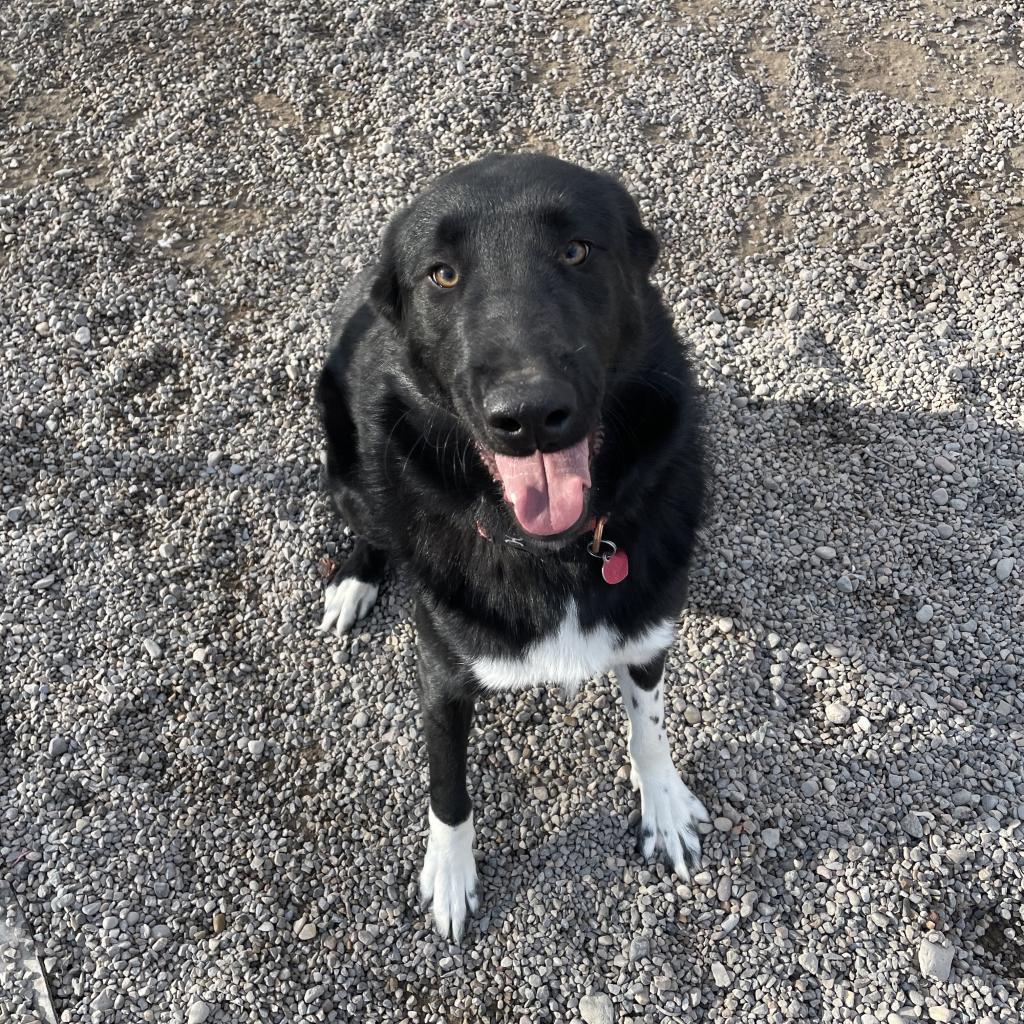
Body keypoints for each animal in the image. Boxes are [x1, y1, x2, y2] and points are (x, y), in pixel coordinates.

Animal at [315, 153, 708, 942]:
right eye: (442, 274)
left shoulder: (648, 627)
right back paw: (355, 578)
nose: (529, 417)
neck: (553, 552)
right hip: (347, 466)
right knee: (369, 525)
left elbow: (649, 724)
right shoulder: (441, 674)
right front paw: (450, 875)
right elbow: (448, 787)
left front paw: (661, 799)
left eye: (577, 251)